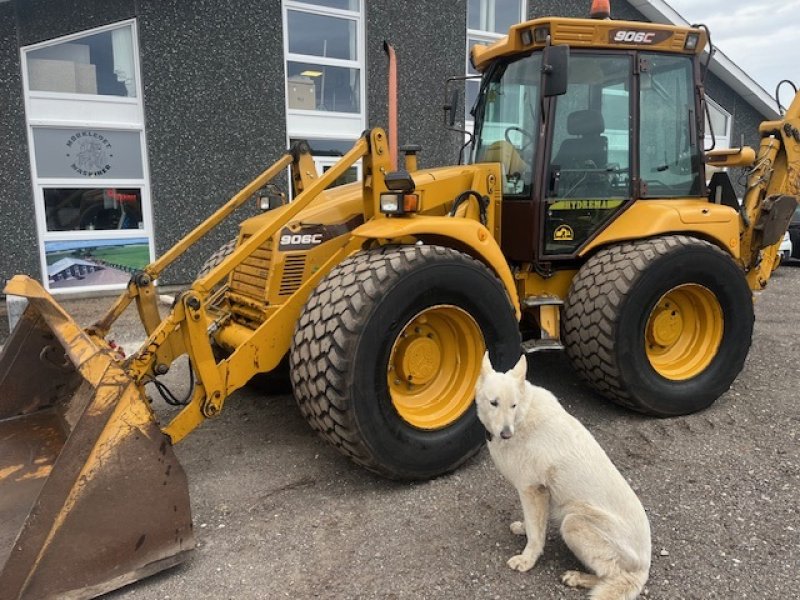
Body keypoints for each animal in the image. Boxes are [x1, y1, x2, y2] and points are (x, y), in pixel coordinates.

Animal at [476, 352, 648, 600]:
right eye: (494, 403)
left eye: (513, 405)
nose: (506, 434)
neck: (522, 417)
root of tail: (643, 569)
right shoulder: (538, 494)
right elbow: (534, 524)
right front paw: (524, 528)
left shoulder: (532, 489)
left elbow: (536, 535)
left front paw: (527, 560)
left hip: (572, 522)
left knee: (611, 576)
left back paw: (577, 577)